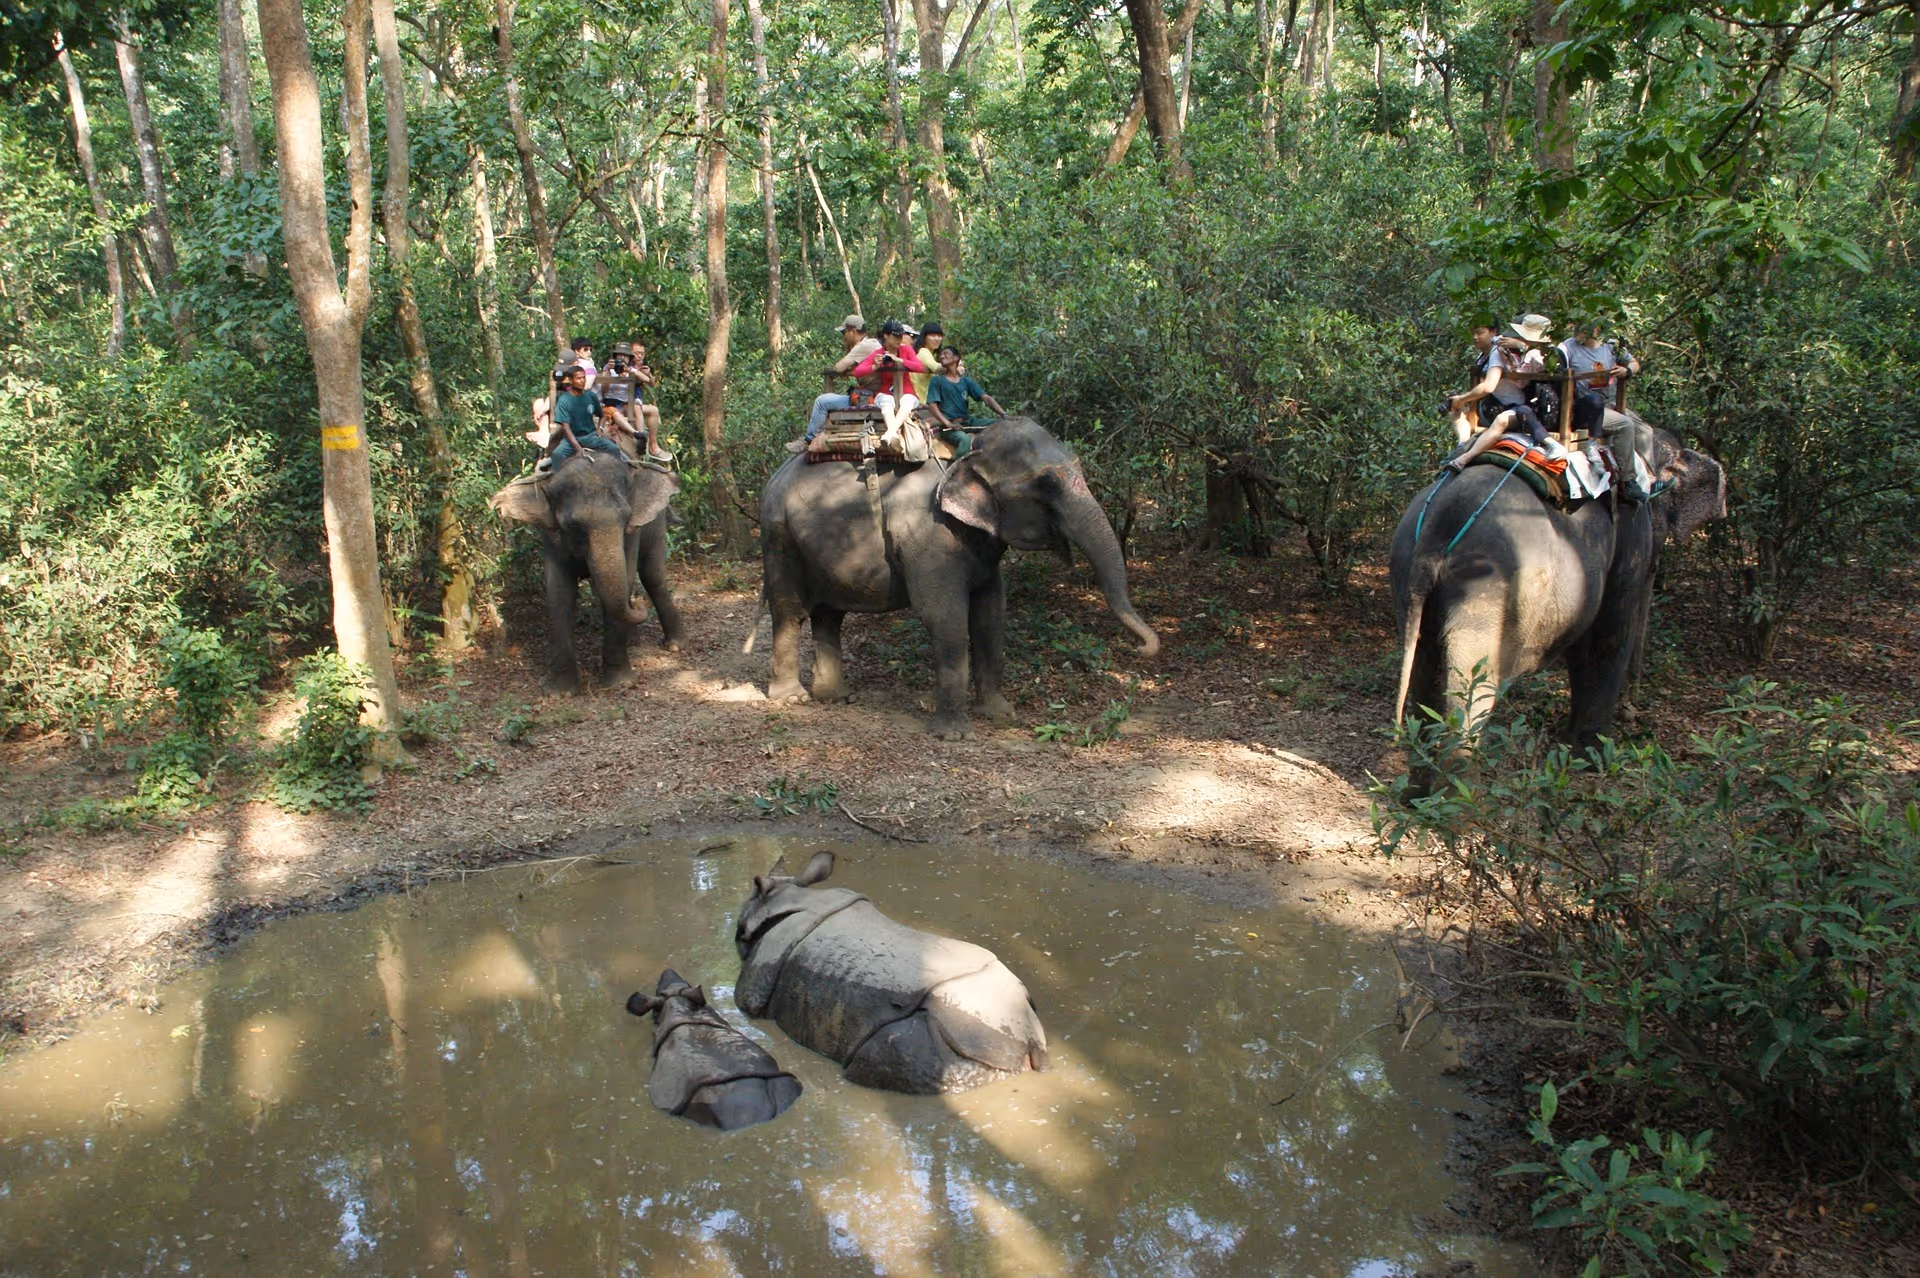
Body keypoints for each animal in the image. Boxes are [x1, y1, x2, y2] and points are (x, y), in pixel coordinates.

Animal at [490, 454, 686, 693]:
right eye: (573, 525)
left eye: (626, 517)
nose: (639, 605)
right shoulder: (550, 535)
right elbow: (559, 592)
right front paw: (561, 692)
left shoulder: (632, 531)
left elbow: (627, 575)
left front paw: (619, 683)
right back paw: (633, 642)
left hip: (656, 521)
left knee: (652, 576)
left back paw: (674, 645)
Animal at [734, 851, 1049, 1095]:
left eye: (739, 927)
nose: (737, 935)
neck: (792, 897)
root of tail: (1030, 1042)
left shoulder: (757, 980)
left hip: (958, 1033)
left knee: (890, 1048)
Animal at [756, 416, 1158, 738]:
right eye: (1045, 484)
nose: (1141, 648)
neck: (969, 449)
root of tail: (776, 473)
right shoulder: (927, 531)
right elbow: (945, 615)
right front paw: (954, 735)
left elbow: (991, 614)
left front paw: (1000, 715)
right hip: (778, 536)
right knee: (790, 611)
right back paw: (792, 698)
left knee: (830, 614)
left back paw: (837, 697)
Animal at [1389, 417, 1726, 768]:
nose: (1633, 707)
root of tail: (1435, 532)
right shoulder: (1631, 530)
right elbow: (1608, 635)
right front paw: (1590, 755)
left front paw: (1573, 745)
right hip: (1488, 587)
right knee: (1472, 686)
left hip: (1407, 569)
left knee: (1425, 670)